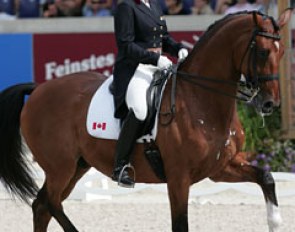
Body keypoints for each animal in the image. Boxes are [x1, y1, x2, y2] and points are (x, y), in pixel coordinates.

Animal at [0, 9, 294, 232]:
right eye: (263, 52)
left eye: (281, 53)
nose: (270, 104)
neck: (200, 100)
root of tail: (38, 88)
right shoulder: (178, 177)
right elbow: (180, 225)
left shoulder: (221, 167)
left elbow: (266, 176)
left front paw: (275, 222)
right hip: (60, 166)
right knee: (50, 203)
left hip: (77, 166)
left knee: (41, 206)